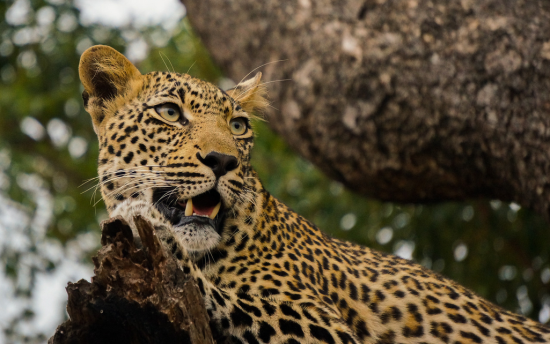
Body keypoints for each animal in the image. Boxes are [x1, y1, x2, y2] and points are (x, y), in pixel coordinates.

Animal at [78, 44, 550, 342]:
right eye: (170, 113)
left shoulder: (320, 326)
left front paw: (137, 220)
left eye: (238, 126)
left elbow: (217, 290)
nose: (223, 161)